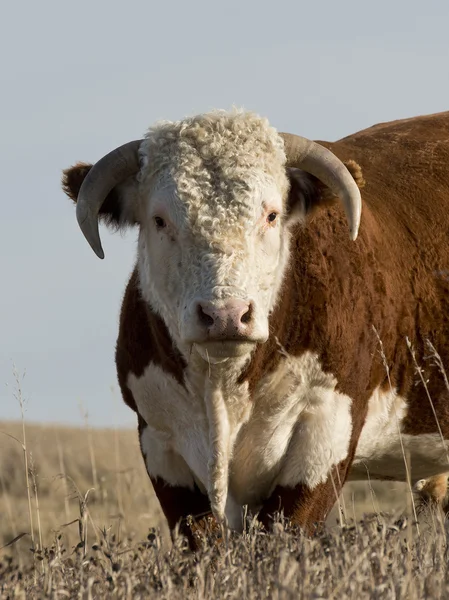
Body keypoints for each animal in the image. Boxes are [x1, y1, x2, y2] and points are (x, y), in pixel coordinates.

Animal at [62, 108, 448, 548]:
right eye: (159, 220)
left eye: (272, 215)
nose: (225, 314)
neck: (223, 389)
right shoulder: (160, 443)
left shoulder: (326, 429)